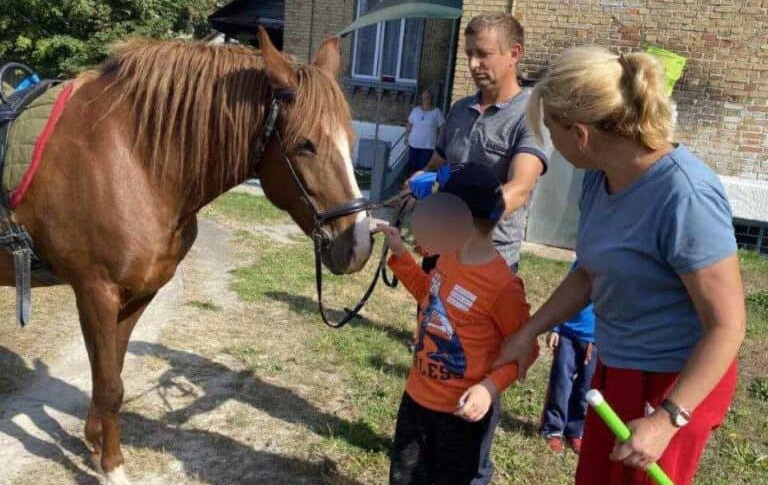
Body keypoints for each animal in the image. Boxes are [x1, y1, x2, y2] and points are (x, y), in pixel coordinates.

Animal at [0, 27, 372, 484]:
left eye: (351, 142)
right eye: (306, 145)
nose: (358, 245)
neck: (132, 160)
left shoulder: (137, 295)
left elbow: (112, 376)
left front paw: (94, 443)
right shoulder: (95, 293)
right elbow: (109, 385)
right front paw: (112, 466)